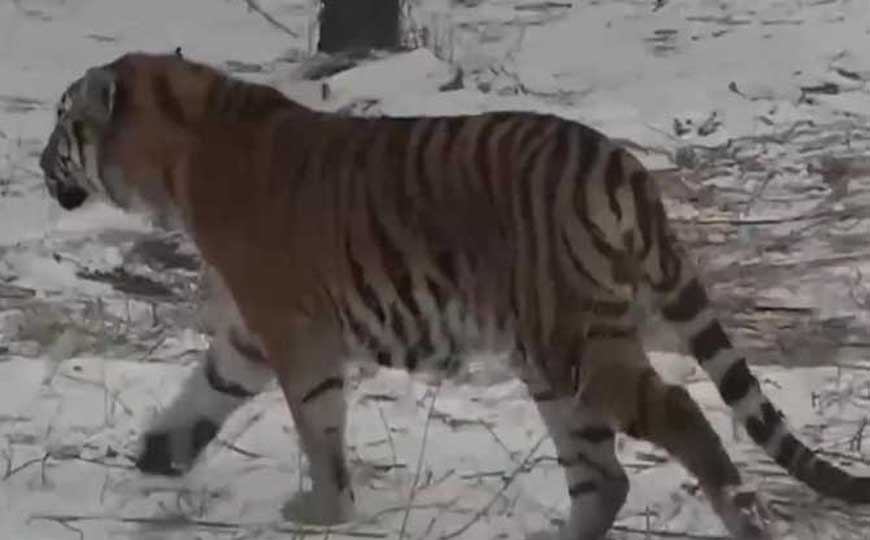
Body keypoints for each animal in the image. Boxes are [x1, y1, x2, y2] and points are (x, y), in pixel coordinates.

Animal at [38, 52, 870, 540]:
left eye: (62, 123)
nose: (40, 161)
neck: (174, 154)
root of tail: (617, 161)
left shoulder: (293, 330)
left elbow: (318, 429)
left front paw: (323, 511)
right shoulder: (250, 330)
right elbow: (205, 391)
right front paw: (156, 455)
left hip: (576, 342)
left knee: (676, 411)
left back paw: (744, 515)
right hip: (553, 358)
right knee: (604, 476)